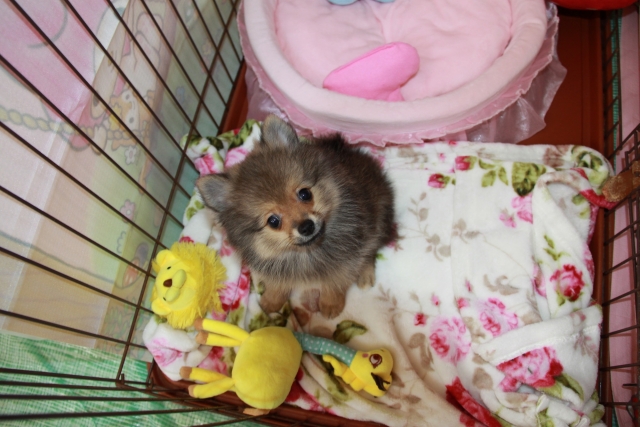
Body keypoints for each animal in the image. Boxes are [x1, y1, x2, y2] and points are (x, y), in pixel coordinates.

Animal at [197, 115, 395, 318]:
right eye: (273, 221)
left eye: (305, 194)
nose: (306, 226)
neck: (304, 253)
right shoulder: (277, 271)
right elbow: (277, 286)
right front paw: (271, 302)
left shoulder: (346, 260)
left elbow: (334, 283)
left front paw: (331, 304)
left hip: (378, 220)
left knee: (370, 251)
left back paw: (365, 275)